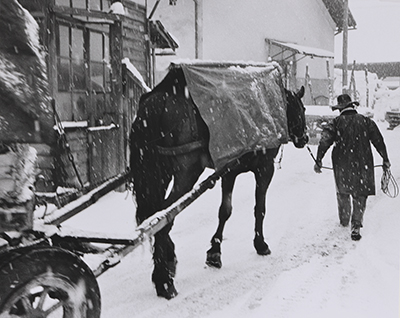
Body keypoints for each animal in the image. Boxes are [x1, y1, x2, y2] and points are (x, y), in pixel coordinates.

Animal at [130, 66, 308, 300]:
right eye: (302, 109)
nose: (305, 138)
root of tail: (158, 99)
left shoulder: (229, 171)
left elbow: (225, 210)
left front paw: (214, 252)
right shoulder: (264, 168)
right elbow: (259, 208)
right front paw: (260, 244)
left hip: (158, 173)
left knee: (154, 214)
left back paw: (167, 263)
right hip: (187, 172)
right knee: (164, 217)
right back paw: (164, 281)